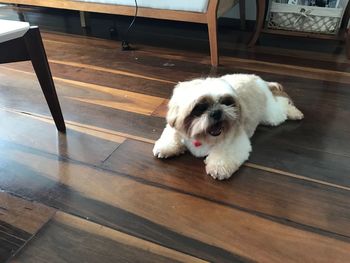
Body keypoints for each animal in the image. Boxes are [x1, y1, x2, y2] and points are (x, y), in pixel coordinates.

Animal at [153, 74, 304, 182]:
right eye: (200, 108)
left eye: (226, 102)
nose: (216, 112)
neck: (203, 137)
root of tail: (257, 79)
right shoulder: (175, 127)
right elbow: (172, 135)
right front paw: (167, 147)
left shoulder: (234, 140)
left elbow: (224, 154)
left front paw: (218, 167)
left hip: (271, 115)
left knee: (283, 106)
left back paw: (294, 112)